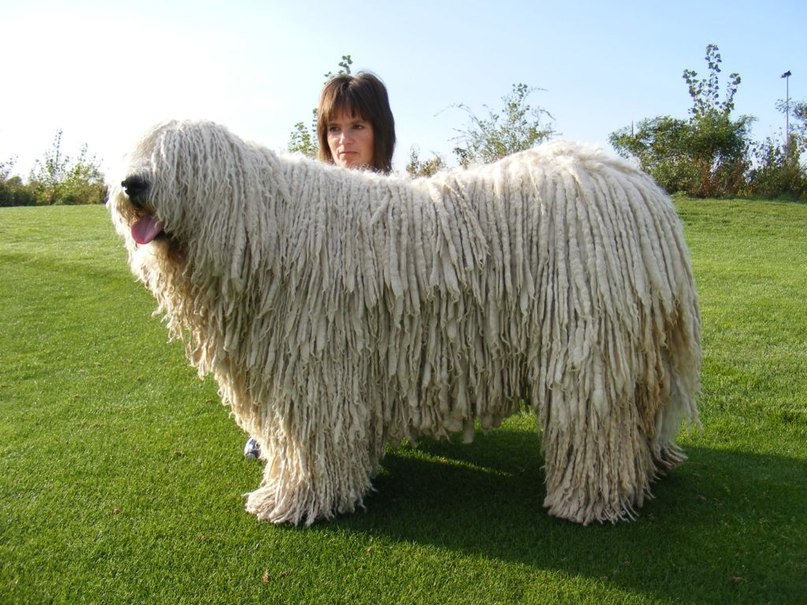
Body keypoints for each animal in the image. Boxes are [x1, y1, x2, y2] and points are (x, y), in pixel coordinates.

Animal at [107, 118, 700, 524]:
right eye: (138, 153)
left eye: (178, 158)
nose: (131, 184)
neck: (264, 229)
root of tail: (644, 193)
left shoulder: (316, 364)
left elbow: (311, 441)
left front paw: (293, 500)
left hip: (587, 340)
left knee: (594, 424)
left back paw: (587, 501)